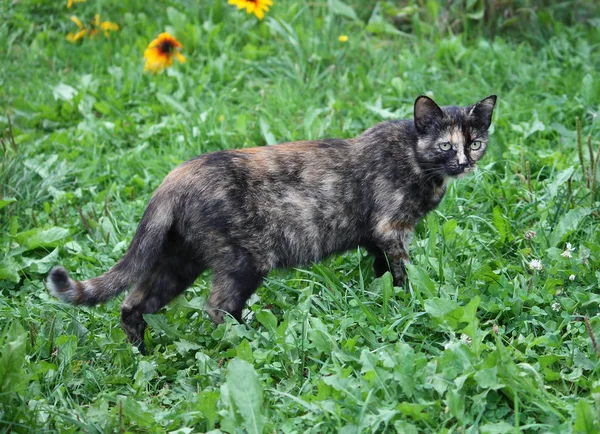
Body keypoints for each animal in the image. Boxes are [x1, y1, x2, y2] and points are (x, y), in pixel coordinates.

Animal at [47, 93, 496, 350]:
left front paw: (382, 300)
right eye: (446, 145)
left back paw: (143, 354)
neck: (415, 158)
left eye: (475, 142)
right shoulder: (392, 231)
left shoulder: (376, 239)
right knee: (217, 307)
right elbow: (403, 274)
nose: (464, 162)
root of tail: (175, 177)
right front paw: (407, 304)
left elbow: (381, 273)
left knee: (132, 304)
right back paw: (248, 342)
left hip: (180, 261)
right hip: (243, 261)